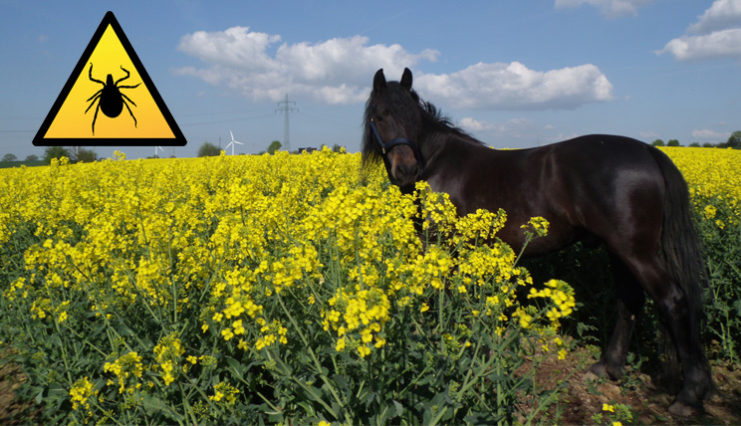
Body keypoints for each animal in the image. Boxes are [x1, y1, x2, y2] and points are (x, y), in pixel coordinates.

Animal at [361, 68, 714, 416]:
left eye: (412, 116)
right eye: (380, 115)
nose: (406, 170)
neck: (436, 163)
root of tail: (648, 152)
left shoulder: (440, 243)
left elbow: (442, 297)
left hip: (636, 252)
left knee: (672, 300)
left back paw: (688, 395)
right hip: (619, 251)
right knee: (630, 300)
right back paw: (608, 367)